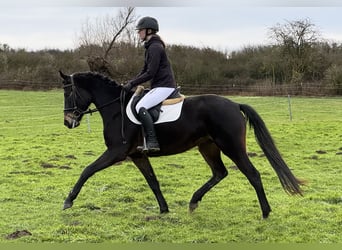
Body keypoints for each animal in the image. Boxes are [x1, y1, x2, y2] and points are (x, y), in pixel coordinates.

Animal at [59, 71, 304, 219]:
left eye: (68, 92)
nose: (68, 121)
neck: (116, 110)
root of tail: (235, 104)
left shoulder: (116, 152)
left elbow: (87, 170)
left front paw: (68, 201)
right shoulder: (138, 155)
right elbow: (153, 181)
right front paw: (164, 209)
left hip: (231, 147)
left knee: (252, 174)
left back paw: (265, 212)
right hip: (208, 147)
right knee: (219, 172)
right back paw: (194, 201)